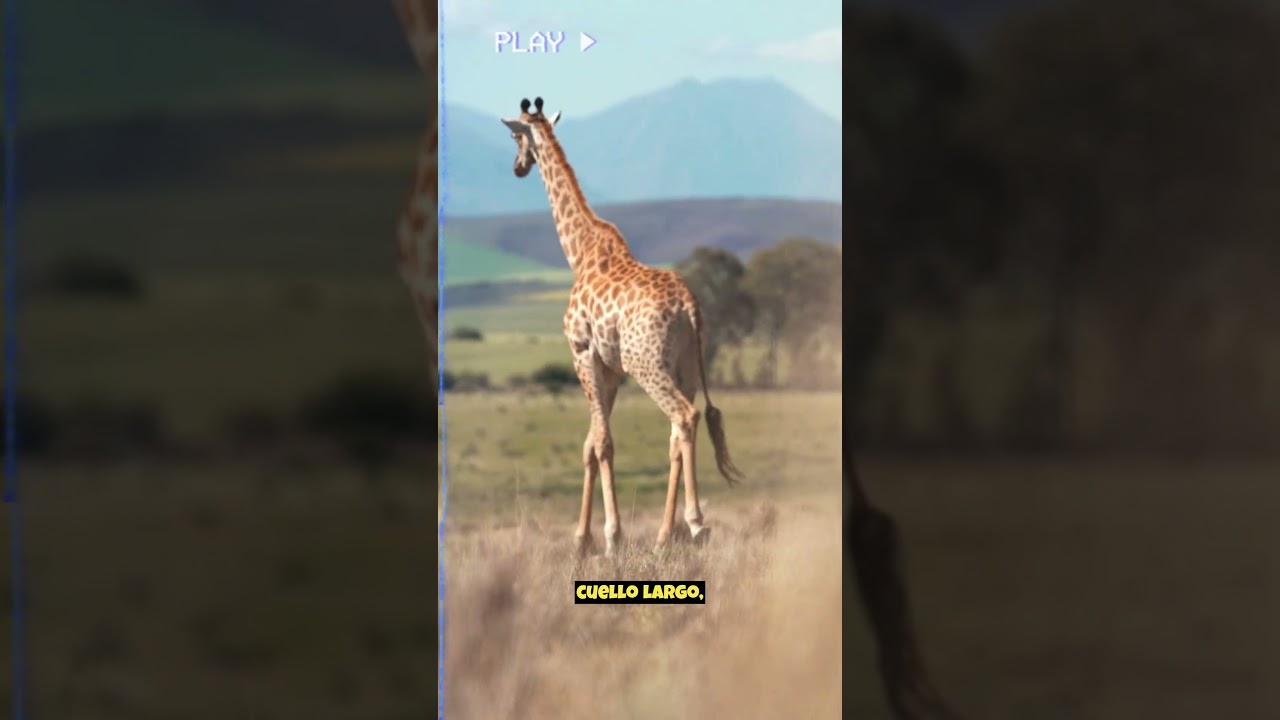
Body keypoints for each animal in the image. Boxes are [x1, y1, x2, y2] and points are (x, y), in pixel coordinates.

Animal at [501, 97, 743, 557]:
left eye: (514, 135)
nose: (518, 167)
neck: (579, 251)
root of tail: (689, 306)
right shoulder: (609, 368)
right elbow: (590, 444)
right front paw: (581, 540)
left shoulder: (582, 353)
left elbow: (602, 443)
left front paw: (611, 538)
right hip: (685, 368)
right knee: (676, 436)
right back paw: (665, 537)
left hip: (647, 364)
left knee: (684, 417)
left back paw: (696, 524)